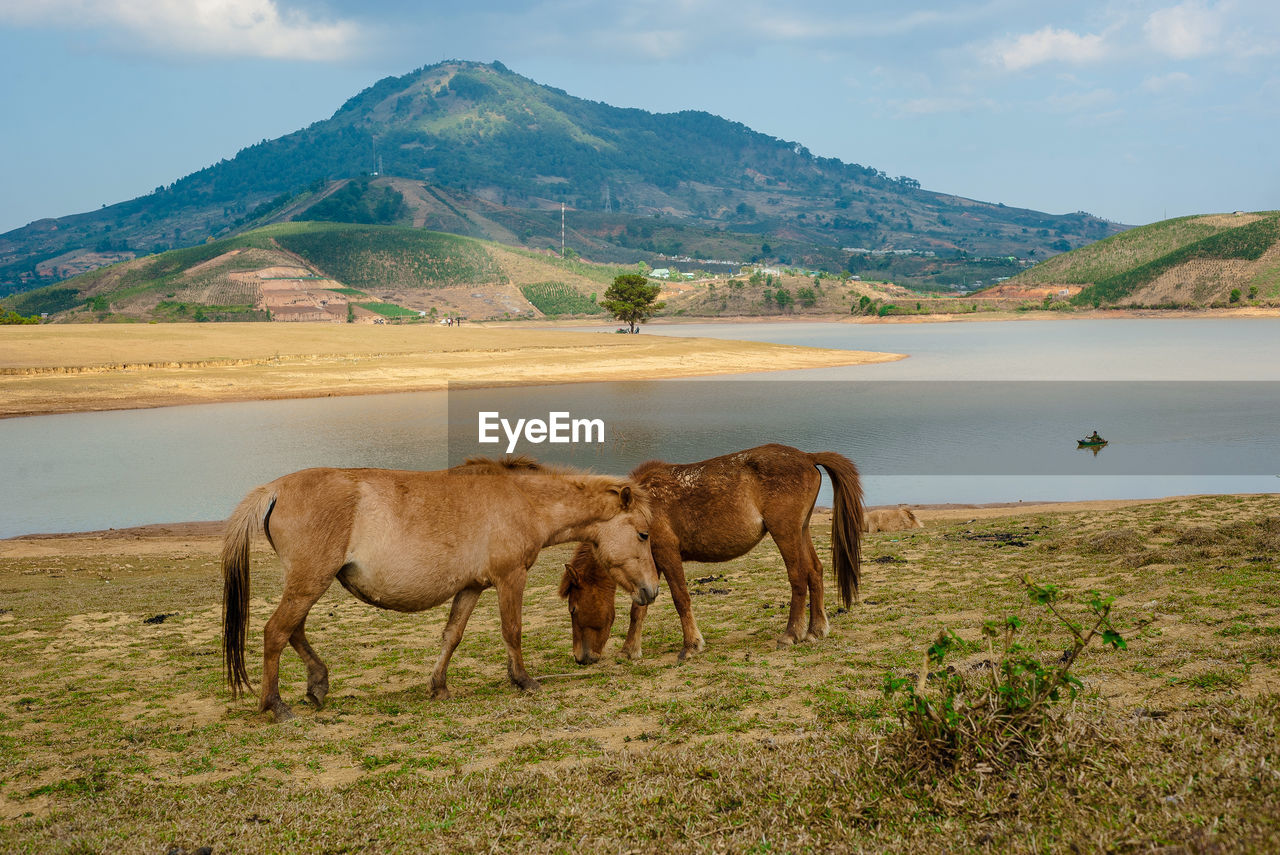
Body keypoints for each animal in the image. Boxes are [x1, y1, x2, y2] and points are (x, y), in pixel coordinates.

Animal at [224, 460, 655, 721]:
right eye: (643, 534)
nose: (650, 591)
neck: (523, 500)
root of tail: (276, 488)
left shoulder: (471, 588)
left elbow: (452, 636)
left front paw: (439, 687)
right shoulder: (510, 578)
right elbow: (512, 631)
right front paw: (524, 680)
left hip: (307, 584)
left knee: (293, 631)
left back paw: (317, 684)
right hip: (309, 583)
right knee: (276, 633)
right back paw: (276, 705)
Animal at [558, 445, 865, 665]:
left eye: (573, 609)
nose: (580, 658)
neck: (638, 513)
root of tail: (807, 457)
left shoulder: (667, 554)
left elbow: (681, 599)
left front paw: (691, 646)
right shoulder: (651, 565)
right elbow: (639, 608)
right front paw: (629, 650)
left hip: (785, 533)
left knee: (799, 577)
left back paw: (791, 634)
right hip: (801, 531)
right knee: (815, 571)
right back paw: (816, 629)